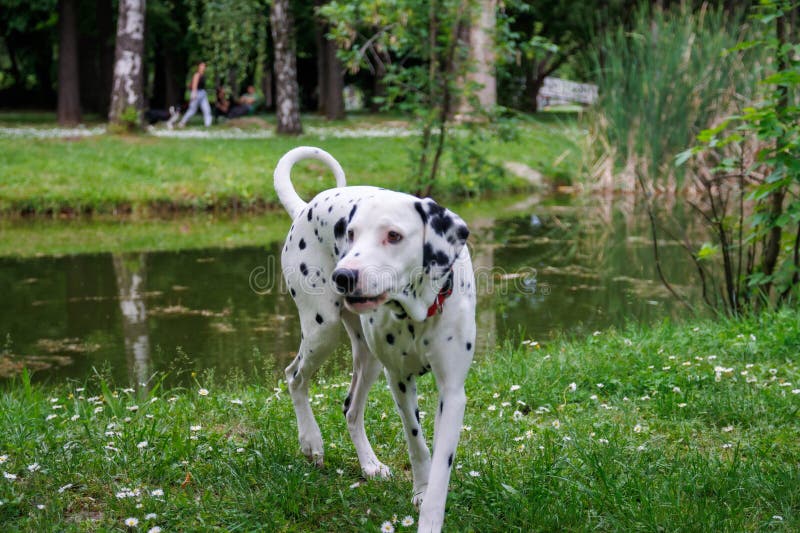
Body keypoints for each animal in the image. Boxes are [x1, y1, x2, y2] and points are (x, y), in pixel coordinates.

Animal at [276, 147, 476, 532]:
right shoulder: (399, 380)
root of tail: (305, 206)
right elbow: (417, 444)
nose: (343, 276)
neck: (418, 313)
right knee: (295, 377)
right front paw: (421, 488)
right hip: (322, 330)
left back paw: (369, 464)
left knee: (351, 409)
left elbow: (440, 464)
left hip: (367, 358)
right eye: (351, 234)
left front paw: (429, 510)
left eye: (393, 235)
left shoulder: (452, 394)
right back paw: (311, 442)